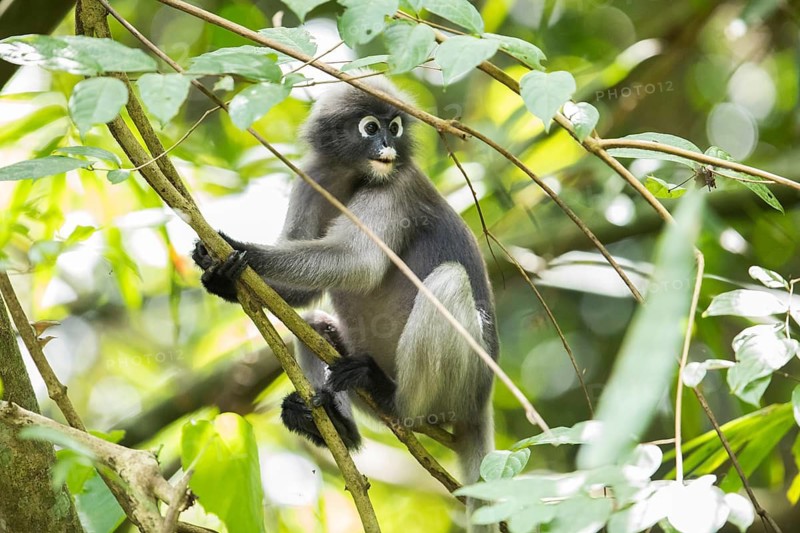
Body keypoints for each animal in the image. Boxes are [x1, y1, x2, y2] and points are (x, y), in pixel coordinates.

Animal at [192, 76, 499, 531]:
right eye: (371, 128)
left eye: (395, 127)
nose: (388, 146)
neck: (352, 176)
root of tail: (481, 406)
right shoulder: (313, 177)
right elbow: (303, 297)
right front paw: (222, 279)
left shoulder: (395, 187)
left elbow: (360, 263)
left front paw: (236, 247)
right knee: (315, 323)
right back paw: (336, 429)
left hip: (463, 385)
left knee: (448, 281)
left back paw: (391, 397)